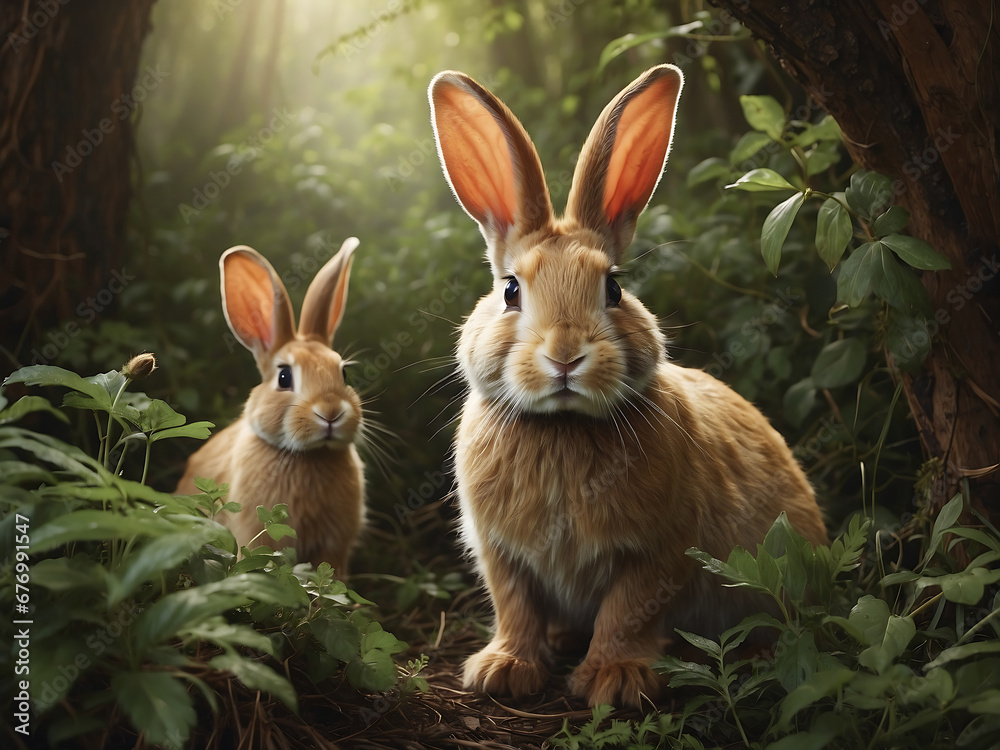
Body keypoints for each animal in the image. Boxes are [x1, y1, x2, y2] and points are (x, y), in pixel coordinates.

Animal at [428, 65, 827, 709]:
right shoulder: (502, 555)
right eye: (511, 290)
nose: (565, 356)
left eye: (613, 288)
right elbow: (515, 608)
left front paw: (613, 682)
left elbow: (626, 612)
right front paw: (504, 670)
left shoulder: (657, 552)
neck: (563, 427)